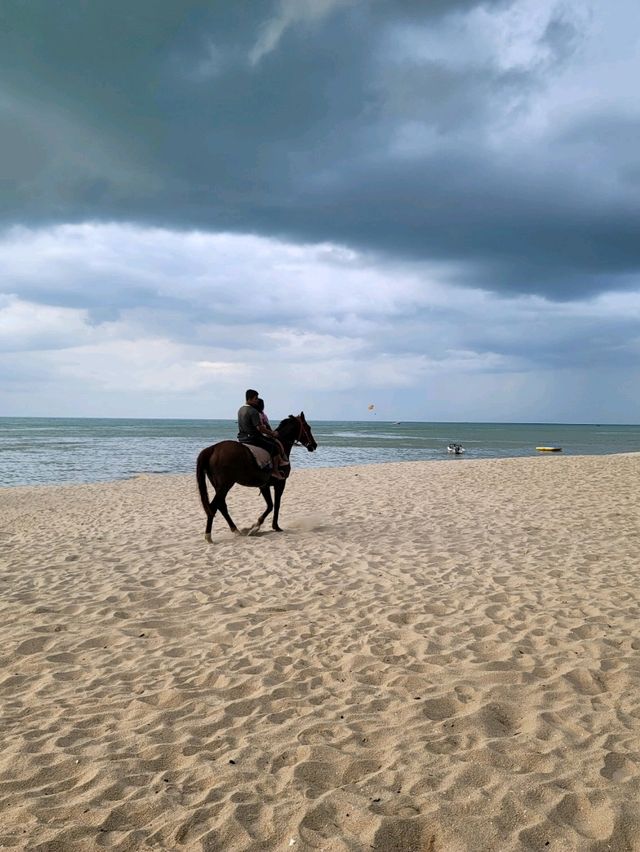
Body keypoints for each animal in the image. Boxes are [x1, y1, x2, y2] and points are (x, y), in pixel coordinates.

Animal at [194, 412, 316, 544]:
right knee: (213, 507)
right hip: (225, 485)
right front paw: (266, 527)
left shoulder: (264, 486)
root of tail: (213, 449)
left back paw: (235, 530)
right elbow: (275, 505)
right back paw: (209, 536)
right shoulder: (280, 484)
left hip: (220, 486)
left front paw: (257, 527)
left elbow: (270, 505)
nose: (314, 445)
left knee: (221, 506)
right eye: (308, 428)